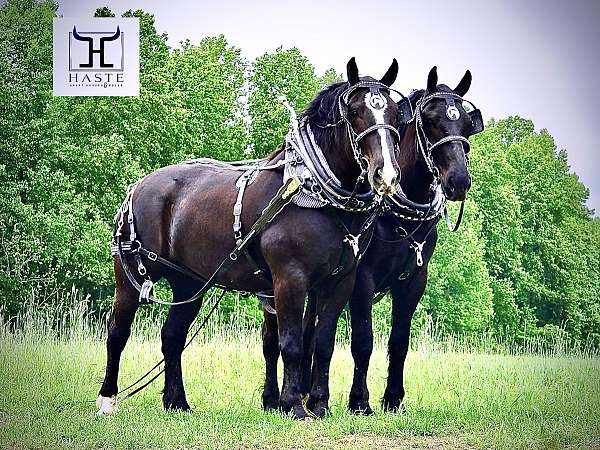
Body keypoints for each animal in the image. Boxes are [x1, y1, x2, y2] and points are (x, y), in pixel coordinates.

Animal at [97, 58, 398, 420]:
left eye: (395, 112)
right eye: (355, 111)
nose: (385, 174)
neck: (314, 193)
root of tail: (140, 185)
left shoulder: (340, 282)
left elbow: (323, 345)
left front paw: (320, 405)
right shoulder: (289, 279)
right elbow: (292, 344)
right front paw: (293, 405)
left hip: (189, 283)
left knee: (172, 336)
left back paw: (177, 402)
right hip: (130, 275)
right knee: (118, 331)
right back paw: (107, 399)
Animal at [264, 66, 480, 414]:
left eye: (465, 124)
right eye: (430, 119)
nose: (458, 181)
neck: (396, 216)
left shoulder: (414, 280)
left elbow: (399, 342)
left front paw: (393, 399)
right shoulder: (362, 278)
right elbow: (363, 341)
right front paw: (359, 401)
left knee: (309, 331)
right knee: (272, 338)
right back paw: (272, 398)